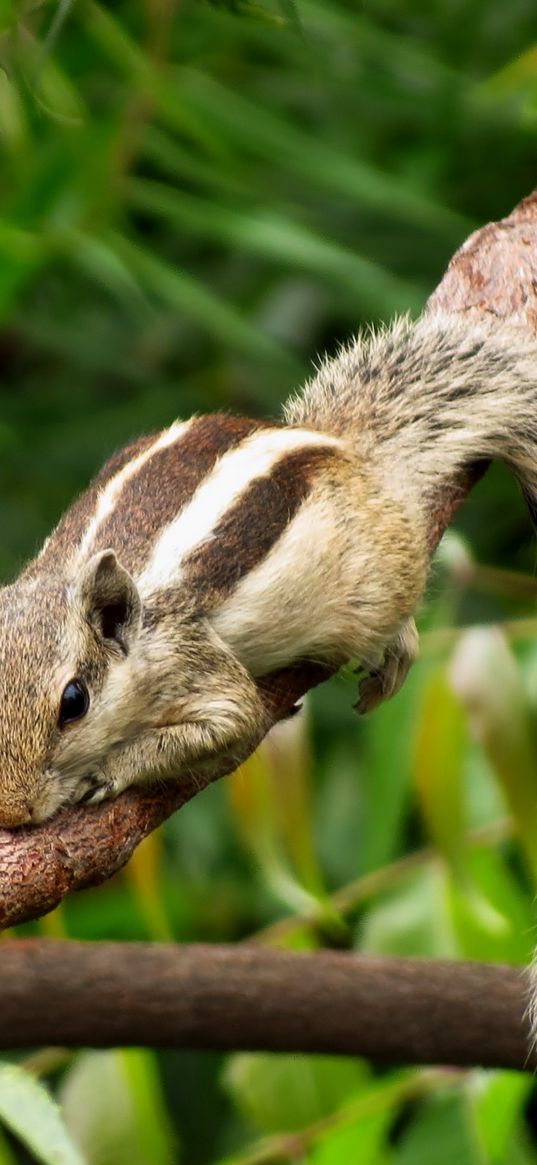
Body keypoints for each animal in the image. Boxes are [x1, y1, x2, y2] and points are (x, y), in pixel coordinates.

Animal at [1, 309, 535, 829]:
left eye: (74, 702)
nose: (12, 811)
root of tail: (337, 441)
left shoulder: (192, 661)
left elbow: (234, 720)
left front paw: (109, 768)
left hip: (374, 578)